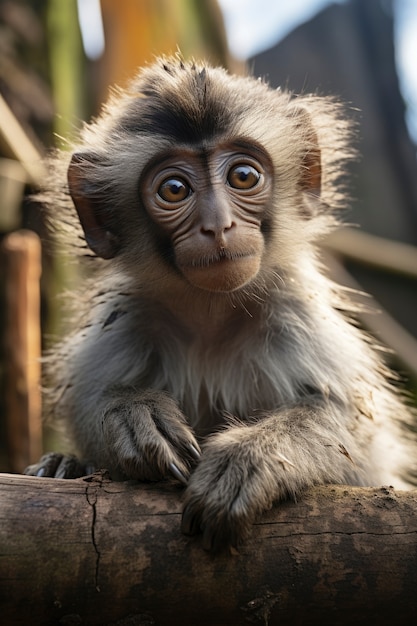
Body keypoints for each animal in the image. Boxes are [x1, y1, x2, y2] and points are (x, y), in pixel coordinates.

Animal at [27, 56, 414, 548]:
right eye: (174, 189)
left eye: (243, 176)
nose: (218, 225)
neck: (211, 312)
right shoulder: (127, 319)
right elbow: (88, 396)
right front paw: (130, 416)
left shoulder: (294, 313)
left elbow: (358, 434)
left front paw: (252, 456)